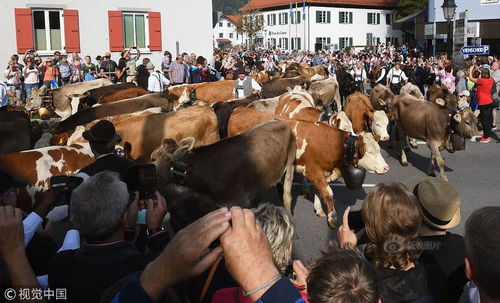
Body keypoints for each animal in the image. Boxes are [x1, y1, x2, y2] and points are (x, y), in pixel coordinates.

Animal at [229, 107, 388, 228]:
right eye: (370, 152)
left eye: (379, 150)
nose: (386, 168)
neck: (332, 143)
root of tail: (240, 109)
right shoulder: (313, 170)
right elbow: (328, 193)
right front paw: (332, 218)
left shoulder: (321, 173)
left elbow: (319, 190)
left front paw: (319, 209)